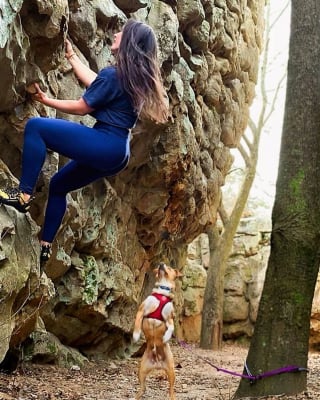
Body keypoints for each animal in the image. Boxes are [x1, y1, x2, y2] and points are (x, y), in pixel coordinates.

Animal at [132, 262, 182, 400]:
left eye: (169, 268)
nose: (161, 263)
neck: (162, 292)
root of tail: (157, 364)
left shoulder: (169, 318)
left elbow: (171, 327)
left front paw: (166, 337)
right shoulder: (141, 311)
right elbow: (137, 323)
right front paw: (136, 335)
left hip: (172, 371)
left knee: (171, 389)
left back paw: (172, 397)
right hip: (141, 370)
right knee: (143, 388)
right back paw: (136, 396)